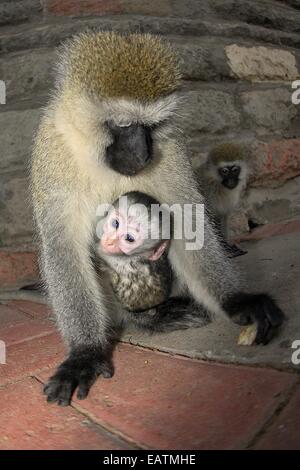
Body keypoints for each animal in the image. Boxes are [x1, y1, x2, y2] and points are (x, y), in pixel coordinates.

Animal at [29, 31, 284, 406]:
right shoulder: (52, 149)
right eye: (123, 124)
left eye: (152, 126)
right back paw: (144, 321)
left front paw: (237, 301)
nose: (142, 152)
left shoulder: (171, 146)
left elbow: (189, 223)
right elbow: (62, 249)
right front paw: (85, 353)